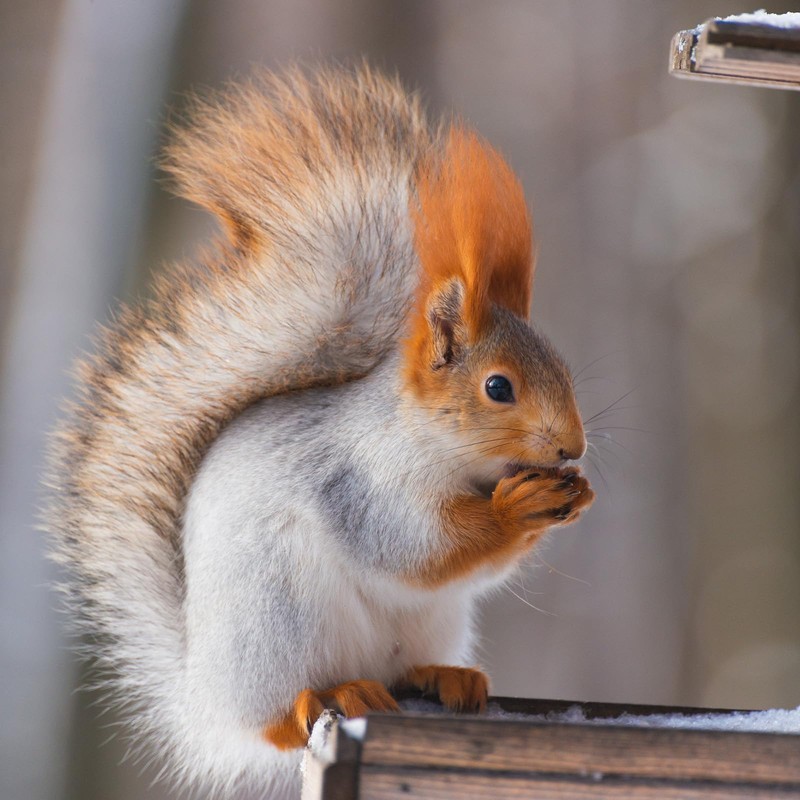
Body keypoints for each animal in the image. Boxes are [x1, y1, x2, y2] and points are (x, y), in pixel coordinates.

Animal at [44, 64, 594, 796]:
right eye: (498, 388)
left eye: (560, 365)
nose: (572, 447)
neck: (442, 450)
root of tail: (203, 702)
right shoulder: (358, 481)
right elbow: (413, 548)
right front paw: (518, 506)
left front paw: (572, 494)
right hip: (274, 625)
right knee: (276, 722)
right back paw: (325, 698)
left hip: (432, 623)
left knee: (402, 667)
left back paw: (439, 676)